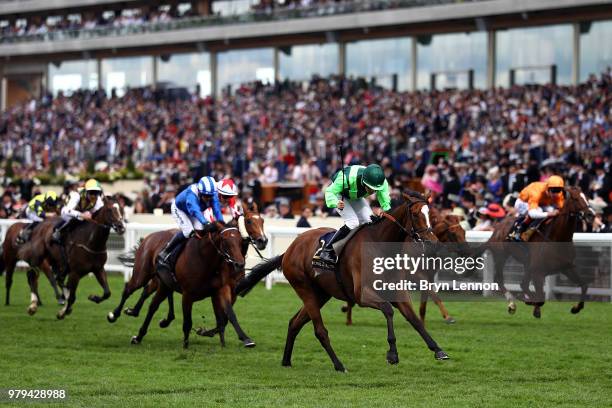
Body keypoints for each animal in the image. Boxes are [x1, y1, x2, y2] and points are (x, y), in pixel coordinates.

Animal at [109, 201, 266, 328]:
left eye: (262, 221)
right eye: (249, 221)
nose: (263, 241)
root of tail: (149, 237)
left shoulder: (230, 290)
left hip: (159, 278)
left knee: (150, 291)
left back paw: (139, 312)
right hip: (142, 273)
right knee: (129, 289)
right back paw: (114, 314)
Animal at [126, 222, 253, 350]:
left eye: (240, 241)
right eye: (225, 240)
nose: (239, 265)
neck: (205, 259)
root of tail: (150, 236)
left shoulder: (222, 290)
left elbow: (228, 316)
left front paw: (245, 339)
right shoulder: (187, 294)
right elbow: (188, 322)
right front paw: (186, 345)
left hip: (164, 284)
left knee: (153, 305)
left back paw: (139, 335)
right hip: (142, 275)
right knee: (131, 289)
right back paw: (126, 314)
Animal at [234, 193, 450, 372]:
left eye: (432, 214)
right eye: (415, 214)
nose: (433, 242)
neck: (380, 245)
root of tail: (289, 250)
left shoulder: (397, 292)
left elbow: (415, 320)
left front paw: (438, 350)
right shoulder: (362, 295)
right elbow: (388, 310)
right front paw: (392, 354)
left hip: (321, 294)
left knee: (295, 322)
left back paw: (286, 360)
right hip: (305, 288)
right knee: (319, 330)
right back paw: (339, 365)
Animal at [476, 188, 596, 318]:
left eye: (587, 197)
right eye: (575, 198)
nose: (591, 214)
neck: (558, 238)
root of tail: (496, 229)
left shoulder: (567, 267)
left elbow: (584, 285)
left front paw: (576, 308)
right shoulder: (538, 272)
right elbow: (540, 298)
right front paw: (533, 305)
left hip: (527, 264)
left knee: (523, 284)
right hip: (501, 255)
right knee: (500, 279)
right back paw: (512, 304)